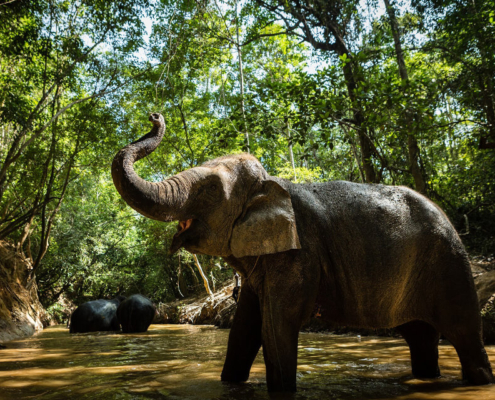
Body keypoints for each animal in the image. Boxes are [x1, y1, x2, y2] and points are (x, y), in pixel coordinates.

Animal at [112, 112, 495, 390]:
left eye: (209, 189)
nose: (154, 115)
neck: (273, 184)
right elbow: (243, 331)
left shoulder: (300, 255)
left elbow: (275, 330)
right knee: (420, 336)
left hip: (449, 262)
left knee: (464, 334)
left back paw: (478, 380)